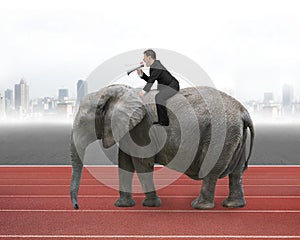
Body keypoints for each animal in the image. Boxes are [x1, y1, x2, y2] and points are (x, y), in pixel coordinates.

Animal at [70, 84, 253, 210]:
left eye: (84, 123)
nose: (77, 207)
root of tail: (243, 110)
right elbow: (124, 164)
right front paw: (123, 205)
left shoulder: (141, 129)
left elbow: (142, 164)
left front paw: (151, 205)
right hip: (235, 134)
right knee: (237, 172)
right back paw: (233, 205)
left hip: (220, 134)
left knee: (211, 170)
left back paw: (199, 206)